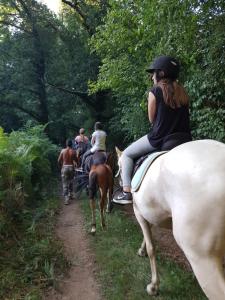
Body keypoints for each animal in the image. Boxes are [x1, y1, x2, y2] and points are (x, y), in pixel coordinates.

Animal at [116, 139, 225, 298]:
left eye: (119, 165)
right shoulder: (153, 214)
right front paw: (141, 250)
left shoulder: (139, 213)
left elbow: (151, 247)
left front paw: (153, 286)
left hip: (203, 260)